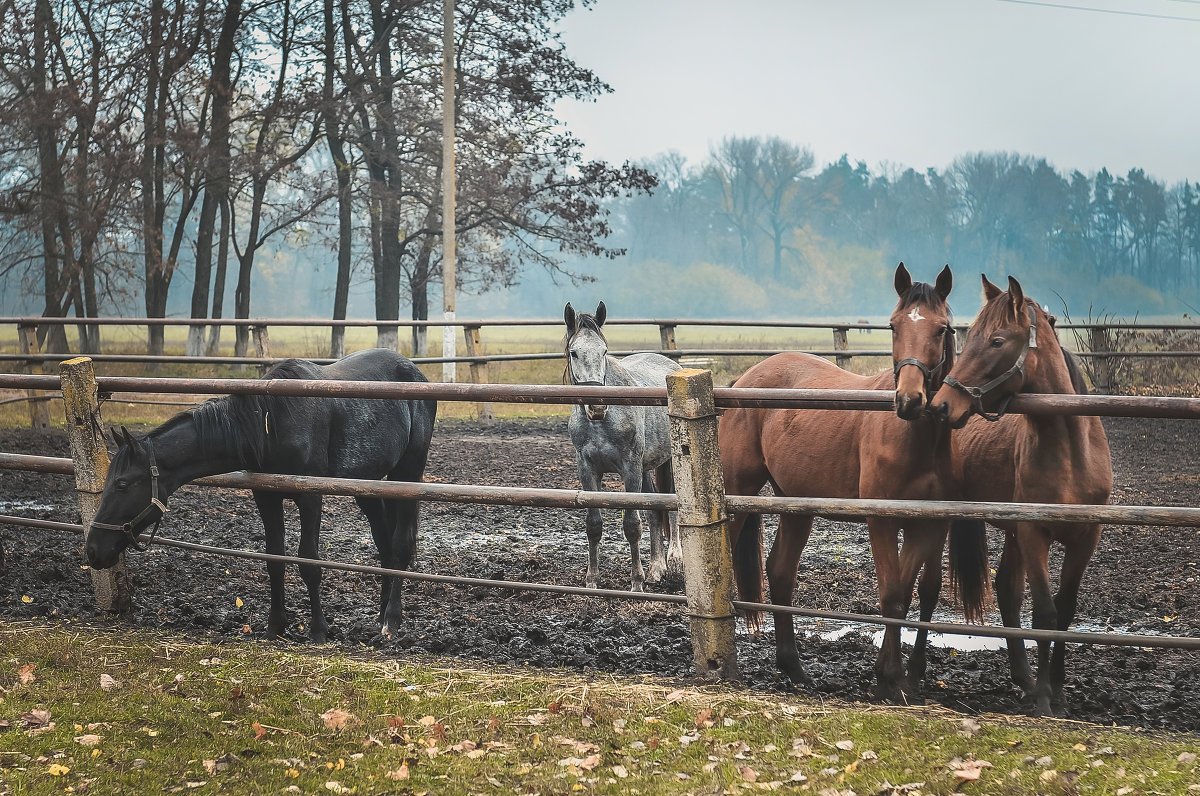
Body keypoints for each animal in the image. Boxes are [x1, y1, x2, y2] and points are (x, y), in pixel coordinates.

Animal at [87, 352, 436, 643]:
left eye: (122, 484)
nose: (93, 550)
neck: (271, 422)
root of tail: (414, 371)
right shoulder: (265, 496)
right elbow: (274, 560)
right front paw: (275, 625)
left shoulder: (311, 498)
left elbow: (309, 562)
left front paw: (319, 630)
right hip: (367, 485)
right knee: (385, 544)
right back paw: (380, 615)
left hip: (408, 472)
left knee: (401, 544)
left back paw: (391, 620)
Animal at [564, 302, 686, 595]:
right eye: (574, 352)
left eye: (604, 351)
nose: (597, 406)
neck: (601, 422)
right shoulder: (588, 469)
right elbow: (594, 525)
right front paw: (592, 580)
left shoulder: (629, 468)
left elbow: (632, 525)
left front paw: (636, 582)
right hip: (646, 468)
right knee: (654, 511)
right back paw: (657, 568)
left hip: (668, 462)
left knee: (672, 506)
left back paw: (675, 562)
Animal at [720, 264, 984, 701]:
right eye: (893, 325)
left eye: (942, 329)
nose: (908, 400)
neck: (918, 440)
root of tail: (744, 379)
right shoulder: (881, 520)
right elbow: (892, 594)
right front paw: (890, 678)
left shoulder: (931, 523)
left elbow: (915, 593)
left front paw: (902, 677)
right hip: (737, 490)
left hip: (796, 504)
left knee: (780, 571)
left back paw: (794, 668)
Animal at [926, 277, 1113, 720]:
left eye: (997, 341)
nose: (942, 405)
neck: (1070, 455)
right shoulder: (1033, 532)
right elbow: (1044, 611)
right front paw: (1045, 697)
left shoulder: (1086, 537)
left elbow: (1065, 610)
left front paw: (1056, 689)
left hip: (1013, 533)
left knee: (1007, 590)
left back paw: (1024, 679)